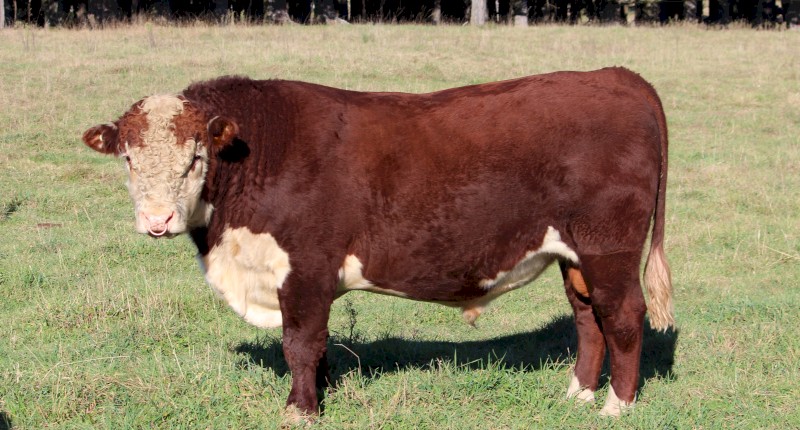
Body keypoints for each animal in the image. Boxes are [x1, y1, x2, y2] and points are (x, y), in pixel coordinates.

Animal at [82, 67, 673, 419]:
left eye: (195, 157)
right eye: (128, 158)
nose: (156, 219)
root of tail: (616, 76)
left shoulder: (305, 268)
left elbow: (300, 342)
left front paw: (300, 410)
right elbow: (317, 346)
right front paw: (319, 393)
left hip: (609, 247)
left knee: (622, 316)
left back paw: (617, 407)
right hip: (574, 254)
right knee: (588, 316)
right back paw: (578, 393)